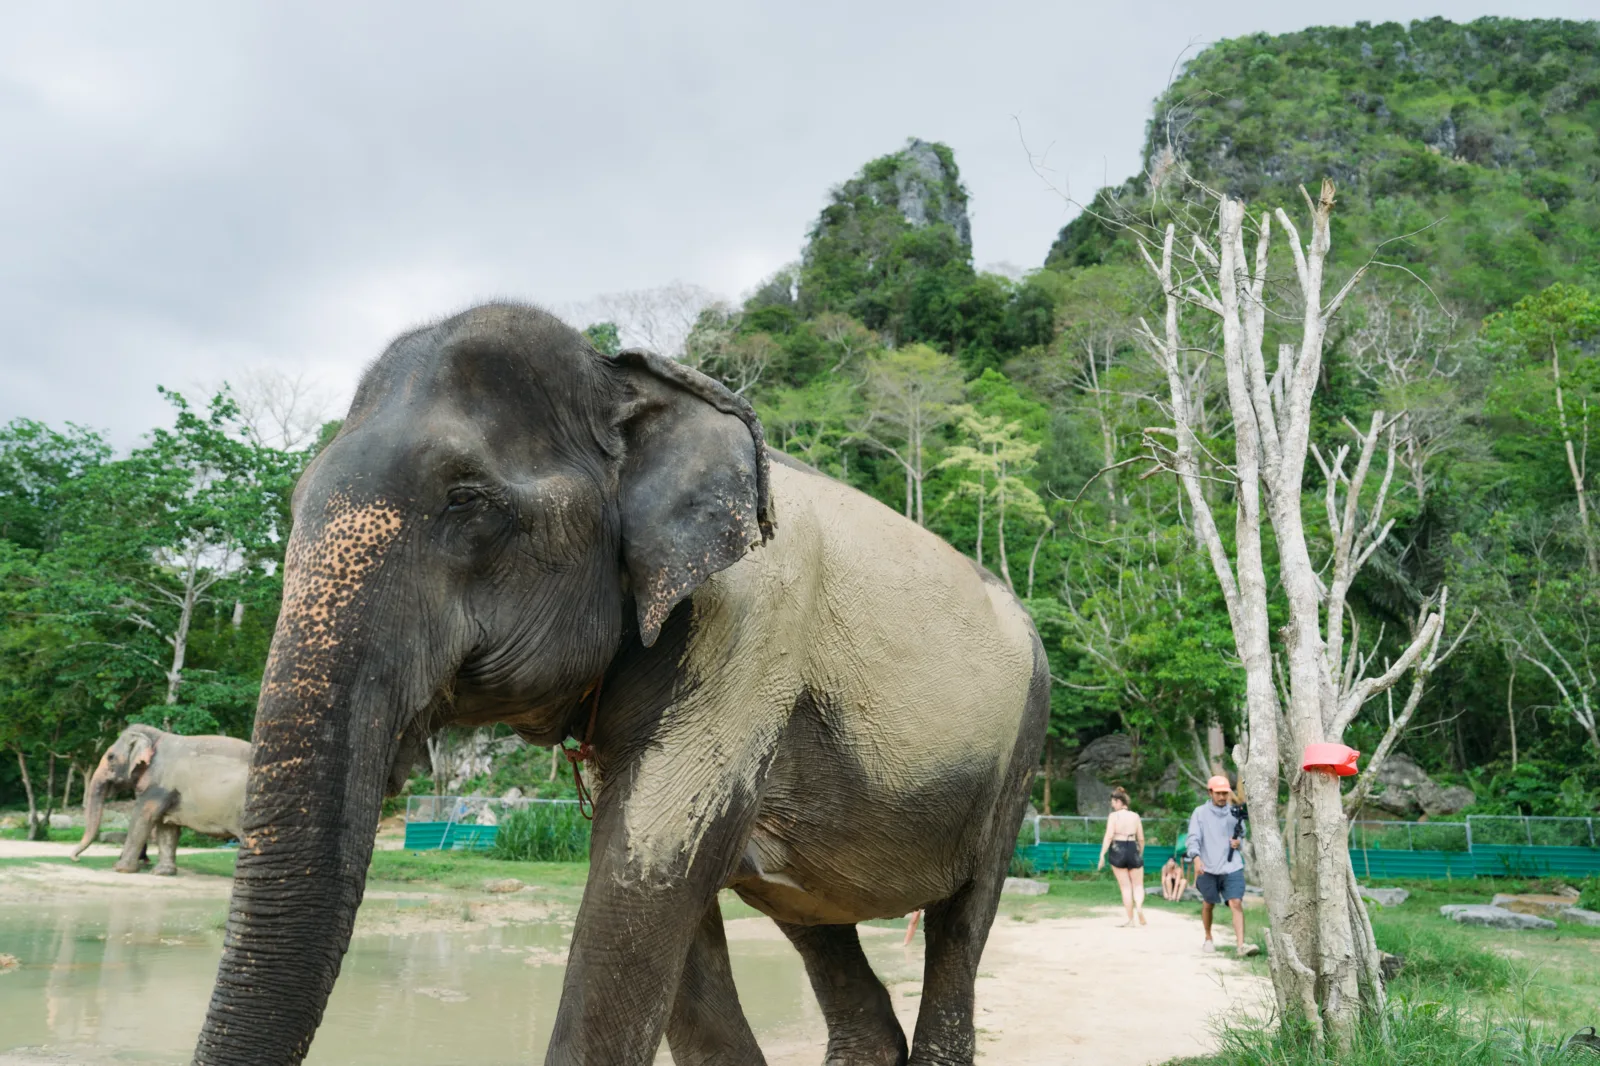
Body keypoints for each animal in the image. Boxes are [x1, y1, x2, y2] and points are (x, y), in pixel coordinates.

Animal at [72, 725, 251, 875]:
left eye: (110, 757)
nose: (76, 858)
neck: (156, 737)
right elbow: (167, 827)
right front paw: (162, 872)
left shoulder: (159, 784)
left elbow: (142, 816)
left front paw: (121, 869)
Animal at [192, 303, 1048, 1066]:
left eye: (467, 500)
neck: (631, 382)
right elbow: (664, 895)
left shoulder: (749, 631)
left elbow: (645, 873)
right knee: (818, 923)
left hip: (1018, 754)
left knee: (962, 923)